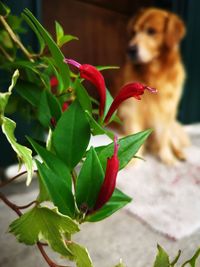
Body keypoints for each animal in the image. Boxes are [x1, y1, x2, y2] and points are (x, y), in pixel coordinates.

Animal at [111, 7, 190, 164]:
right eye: (134, 32)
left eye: (151, 31)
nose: (130, 50)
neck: (155, 72)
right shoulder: (132, 109)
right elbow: (135, 134)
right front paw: (133, 162)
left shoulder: (167, 110)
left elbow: (164, 138)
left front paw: (168, 159)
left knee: (171, 141)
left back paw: (179, 154)